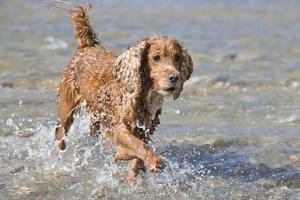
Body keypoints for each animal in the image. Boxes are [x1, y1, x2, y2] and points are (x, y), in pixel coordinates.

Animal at [54, 5, 193, 181]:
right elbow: (138, 145)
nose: (174, 77)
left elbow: (137, 155)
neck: (143, 95)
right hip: (66, 109)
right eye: (156, 57)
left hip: (96, 117)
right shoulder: (118, 126)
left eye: (177, 57)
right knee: (60, 135)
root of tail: (87, 46)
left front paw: (133, 177)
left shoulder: (145, 129)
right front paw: (152, 161)